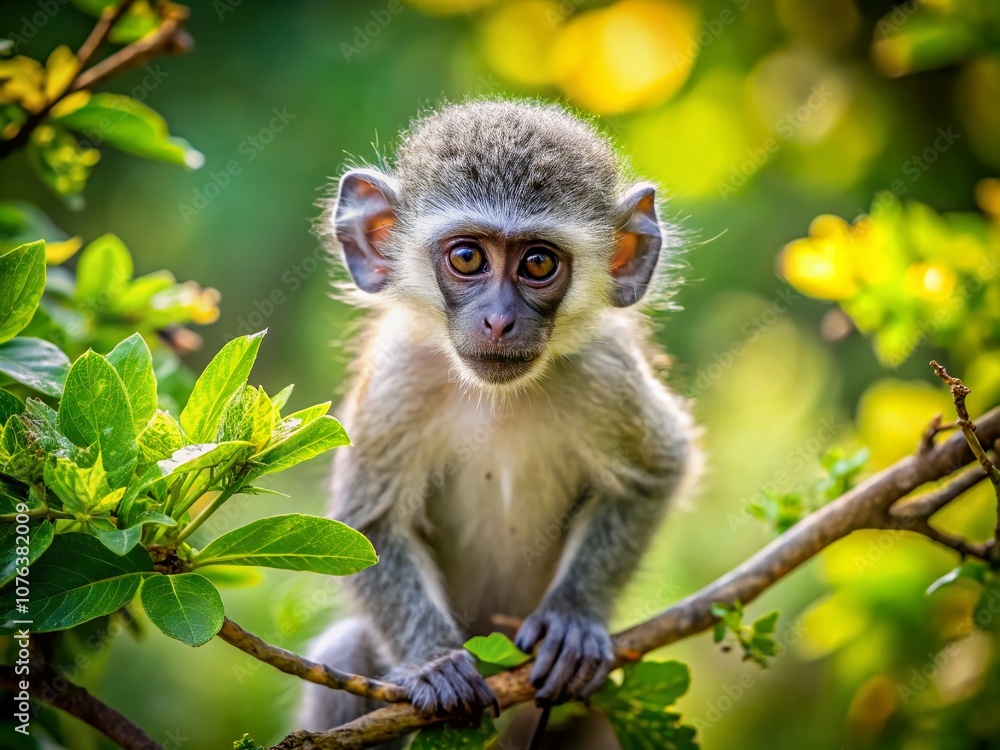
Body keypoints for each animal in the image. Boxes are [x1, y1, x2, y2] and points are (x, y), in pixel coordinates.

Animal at [297, 100, 698, 747]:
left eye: (537, 263)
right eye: (467, 257)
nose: (499, 321)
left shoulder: (605, 369)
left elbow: (657, 472)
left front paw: (572, 620)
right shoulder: (397, 377)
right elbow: (367, 523)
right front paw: (433, 661)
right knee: (348, 648)